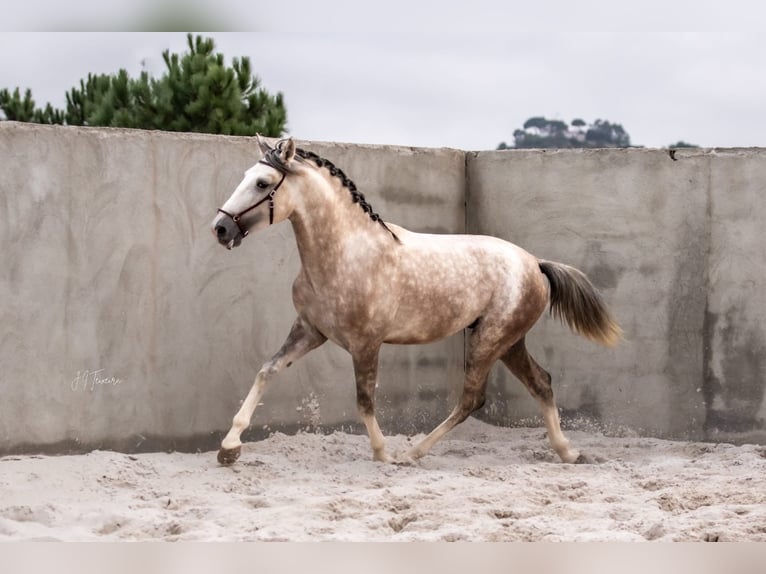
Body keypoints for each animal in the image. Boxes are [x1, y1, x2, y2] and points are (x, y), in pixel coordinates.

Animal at [212, 138, 624, 468]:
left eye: (262, 183)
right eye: (247, 176)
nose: (221, 228)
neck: (346, 252)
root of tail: (535, 263)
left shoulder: (366, 344)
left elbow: (364, 401)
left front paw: (382, 454)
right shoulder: (310, 331)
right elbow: (266, 371)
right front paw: (229, 448)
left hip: (489, 340)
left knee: (471, 399)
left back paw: (411, 453)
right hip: (508, 342)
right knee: (541, 383)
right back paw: (568, 452)